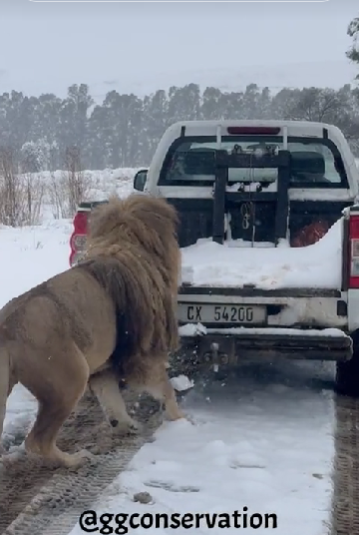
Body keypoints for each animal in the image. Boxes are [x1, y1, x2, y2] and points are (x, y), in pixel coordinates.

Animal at [0, 194, 186, 468]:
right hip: (70, 379)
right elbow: (165, 389)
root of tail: (6, 326)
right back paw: (77, 459)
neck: (123, 242)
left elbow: (112, 400)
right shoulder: (143, 354)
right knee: (37, 442)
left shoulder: (104, 367)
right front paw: (183, 423)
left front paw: (126, 425)